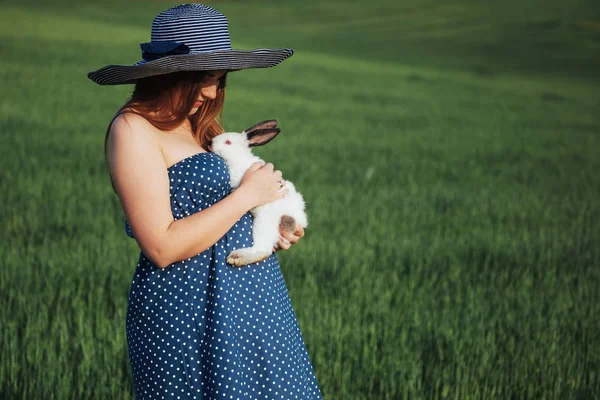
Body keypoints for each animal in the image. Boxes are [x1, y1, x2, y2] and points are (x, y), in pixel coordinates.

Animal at [212, 120, 310, 268]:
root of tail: (299, 221)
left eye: (228, 142)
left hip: (264, 223)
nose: (211, 143)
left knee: (263, 250)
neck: (239, 160)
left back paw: (236, 257)